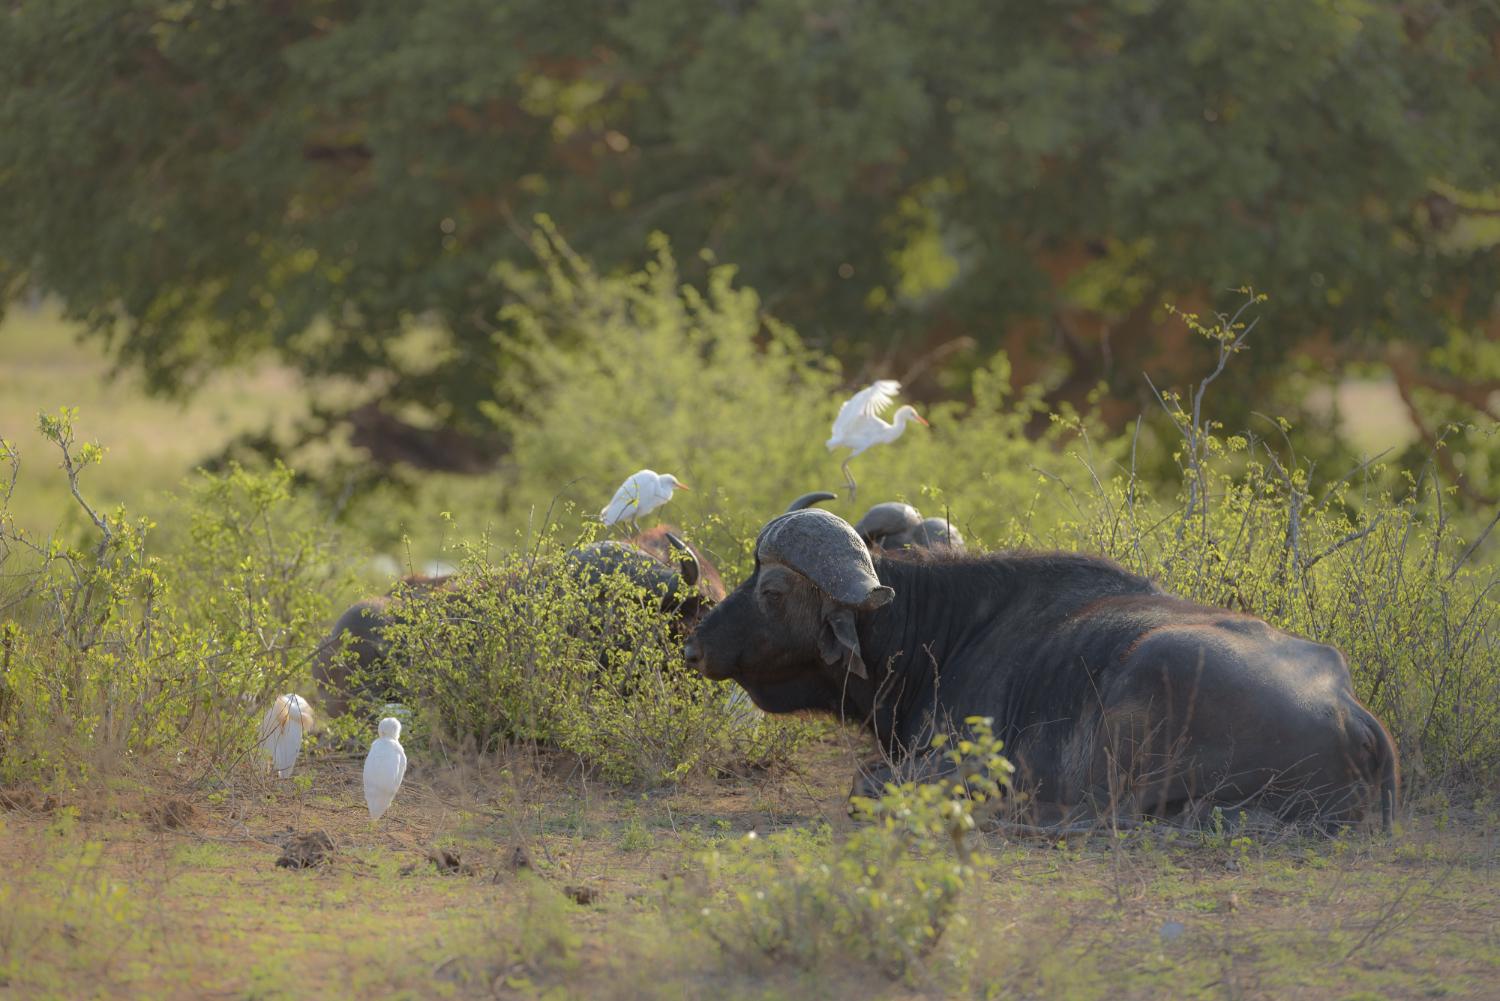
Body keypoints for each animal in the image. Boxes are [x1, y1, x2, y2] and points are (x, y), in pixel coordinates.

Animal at [687, 510, 1398, 828]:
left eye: (772, 588)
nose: (694, 647)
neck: (944, 632)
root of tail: (1351, 715)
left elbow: (867, 782)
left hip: (1151, 678)